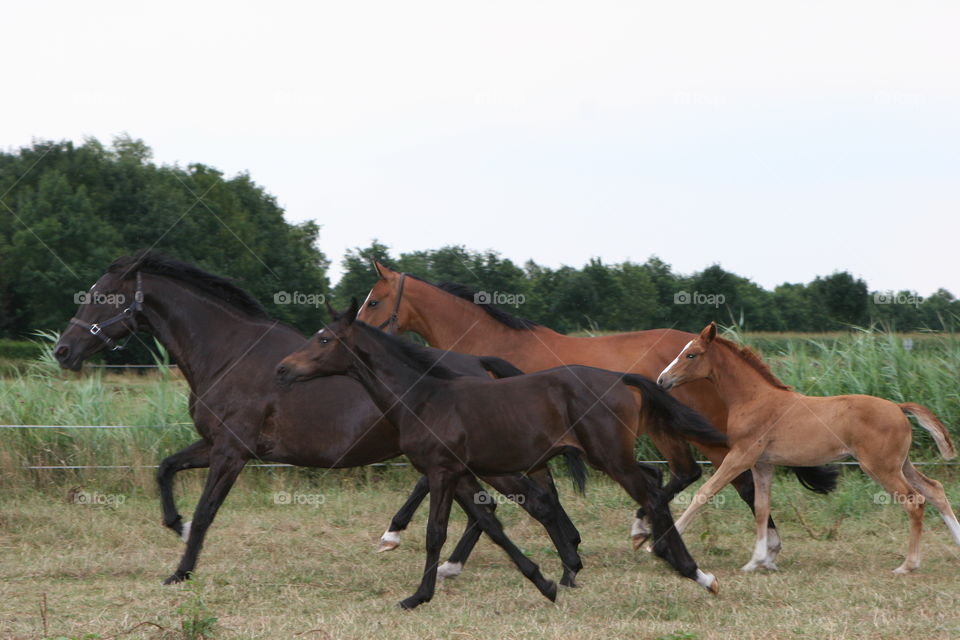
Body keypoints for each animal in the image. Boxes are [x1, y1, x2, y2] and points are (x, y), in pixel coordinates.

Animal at [53, 251, 586, 587]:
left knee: (534, 501)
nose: (63, 351)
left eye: (103, 297)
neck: (229, 353)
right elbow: (165, 469)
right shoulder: (215, 445)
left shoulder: (231, 453)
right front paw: (175, 527)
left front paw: (180, 570)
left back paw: (564, 568)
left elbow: (206, 512)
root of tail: (479, 364)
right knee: (503, 506)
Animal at [275, 299, 728, 609]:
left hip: (611, 457)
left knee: (653, 493)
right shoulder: (461, 474)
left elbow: (436, 533)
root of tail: (621, 378)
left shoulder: (441, 472)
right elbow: (490, 524)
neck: (424, 398)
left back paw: (695, 572)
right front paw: (544, 582)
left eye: (324, 339)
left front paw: (417, 595)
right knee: (655, 482)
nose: (282, 369)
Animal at [355, 262, 838, 566]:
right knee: (690, 474)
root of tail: (707, 344)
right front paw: (570, 541)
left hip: (690, 431)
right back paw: (650, 529)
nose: (354, 338)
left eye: (374, 301)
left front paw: (393, 535)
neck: (489, 351)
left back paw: (757, 545)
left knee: (729, 478)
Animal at [657, 322, 960, 573]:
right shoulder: (763, 464)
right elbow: (761, 507)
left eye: (691, 354)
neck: (754, 399)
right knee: (934, 490)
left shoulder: (741, 456)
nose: (661, 380)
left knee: (914, 501)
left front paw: (660, 542)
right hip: (901, 464)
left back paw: (907, 565)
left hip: (880, 467)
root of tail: (898, 407)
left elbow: (704, 493)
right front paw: (757, 561)